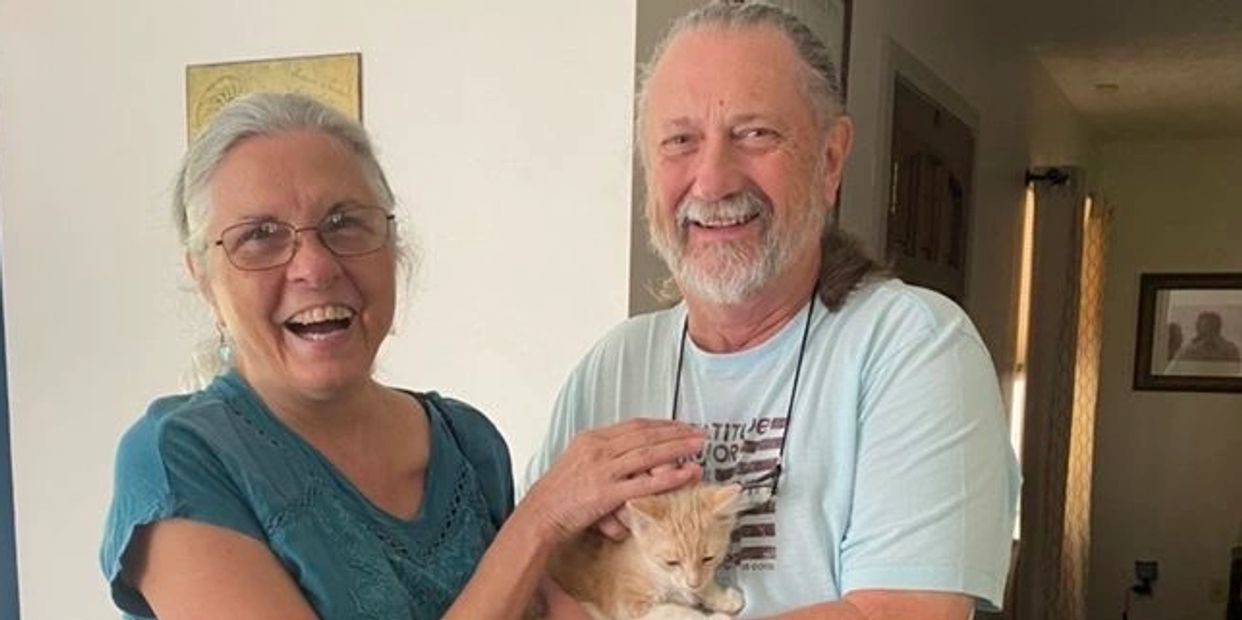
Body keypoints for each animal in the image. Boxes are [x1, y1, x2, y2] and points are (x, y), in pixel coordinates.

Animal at [548, 484, 740, 620]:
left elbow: (702, 584)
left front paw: (722, 597)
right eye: (671, 562)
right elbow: (675, 611)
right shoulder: (628, 605)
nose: (693, 583)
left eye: (708, 558)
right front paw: (716, 617)